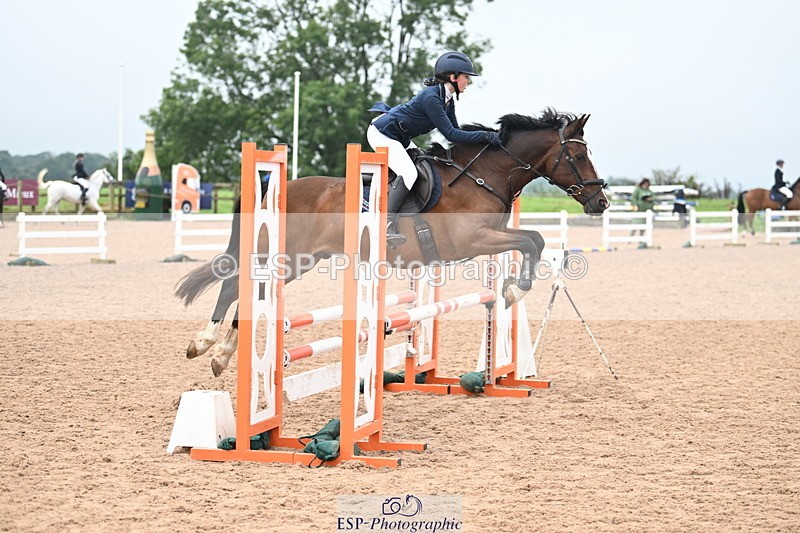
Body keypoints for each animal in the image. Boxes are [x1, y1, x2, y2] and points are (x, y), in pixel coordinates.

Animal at [175, 109, 609, 377]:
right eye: (578, 157)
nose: (600, 202)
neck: (483, 175)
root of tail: (269, 188)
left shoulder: (486, 240)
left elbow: (532, 241)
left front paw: (509, 290)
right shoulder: (474, 239)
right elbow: (533, 240)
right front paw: (514, 291)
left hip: (299, 260)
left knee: (250, 289)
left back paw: (218, 352)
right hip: (285, 255)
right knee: (237, 284)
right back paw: (209, 346)